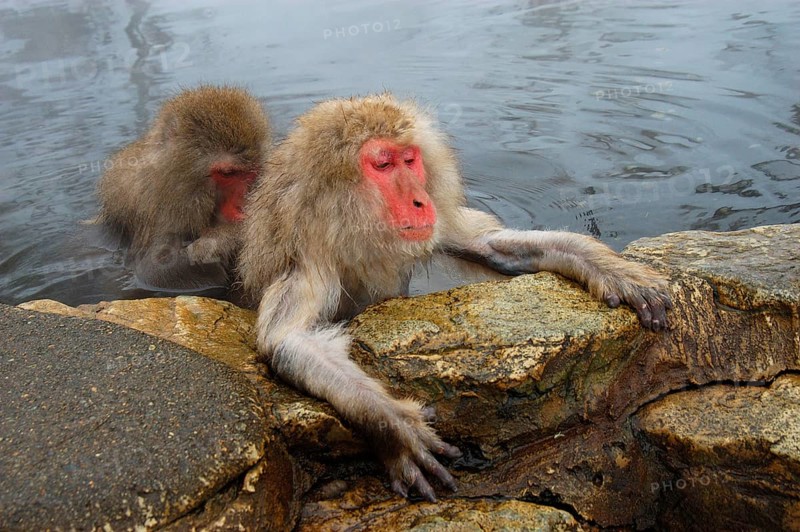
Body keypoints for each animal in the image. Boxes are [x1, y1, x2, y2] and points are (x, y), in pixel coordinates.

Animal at [97, 85, 271, 289]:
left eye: (252, 173)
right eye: (228, 173)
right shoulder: (157, 213)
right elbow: (152, 271)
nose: (245, 203)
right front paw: (227, 238)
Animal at [238, 94, 672, 502]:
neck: (352, 226)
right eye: (383, 165)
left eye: (409, 160)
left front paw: (614, 271)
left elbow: (492, 246)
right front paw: (392, 424)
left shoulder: (435, 224)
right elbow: (289, 341)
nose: (420, 200)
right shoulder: (309, 260)